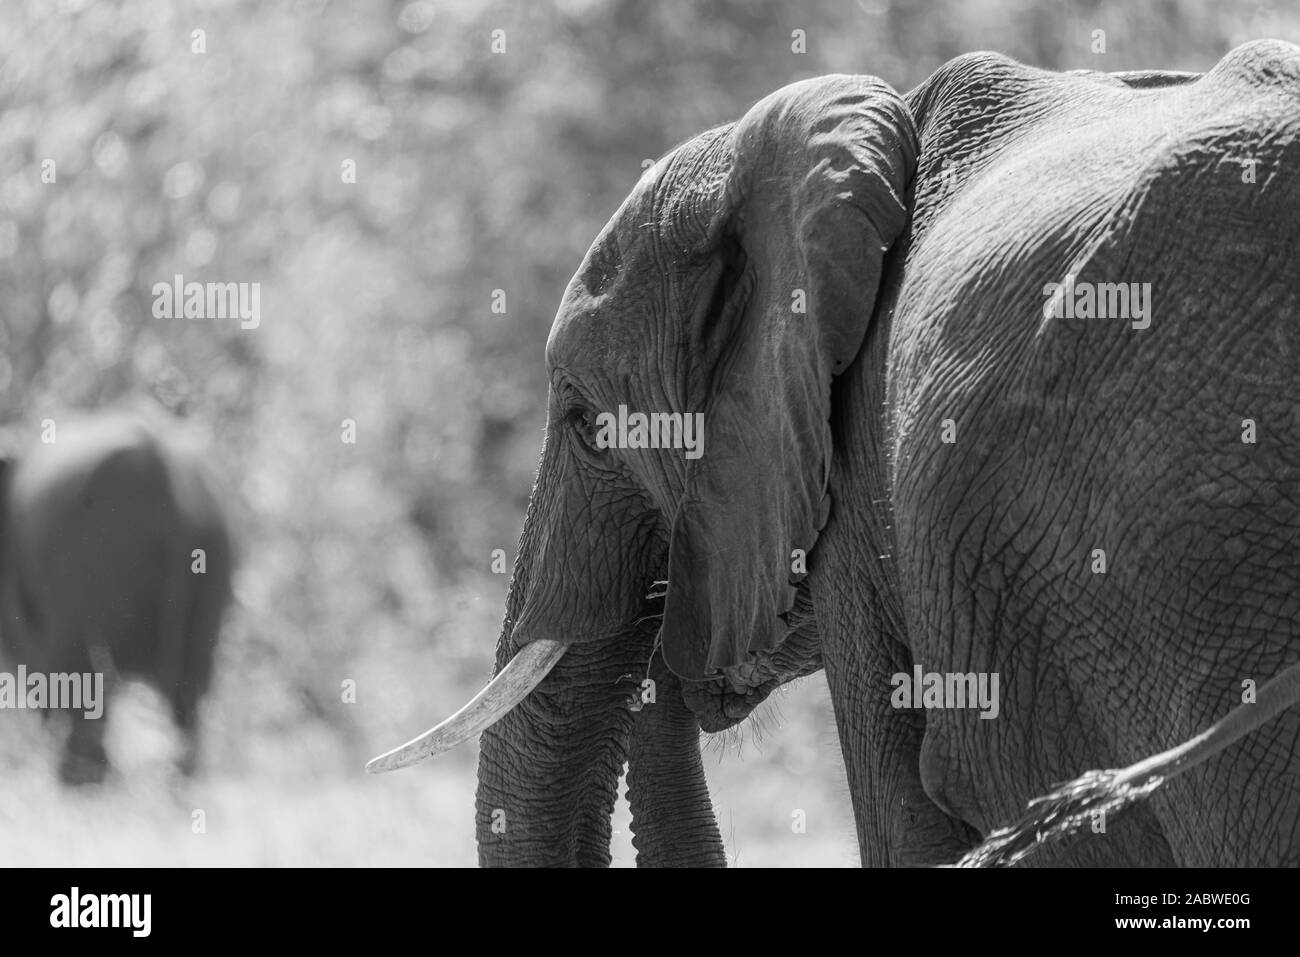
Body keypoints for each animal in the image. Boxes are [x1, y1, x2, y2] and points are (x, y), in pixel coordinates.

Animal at [0, 413, 231, 785]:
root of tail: (163, 472)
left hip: (91, 564)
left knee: (81, 679)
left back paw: (82, 781)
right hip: (213, 559)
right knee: (191, 692)